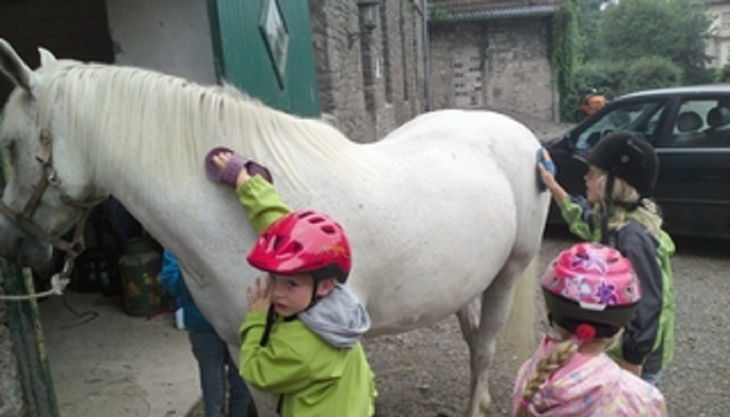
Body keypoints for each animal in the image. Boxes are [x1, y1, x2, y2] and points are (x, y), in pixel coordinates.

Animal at [0, 39, 550, 417]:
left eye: (7, 143)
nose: (14, 244)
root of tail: (523, 137)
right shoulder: (240, 347)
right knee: (472, 337)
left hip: (509, 272)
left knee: (484, 349)